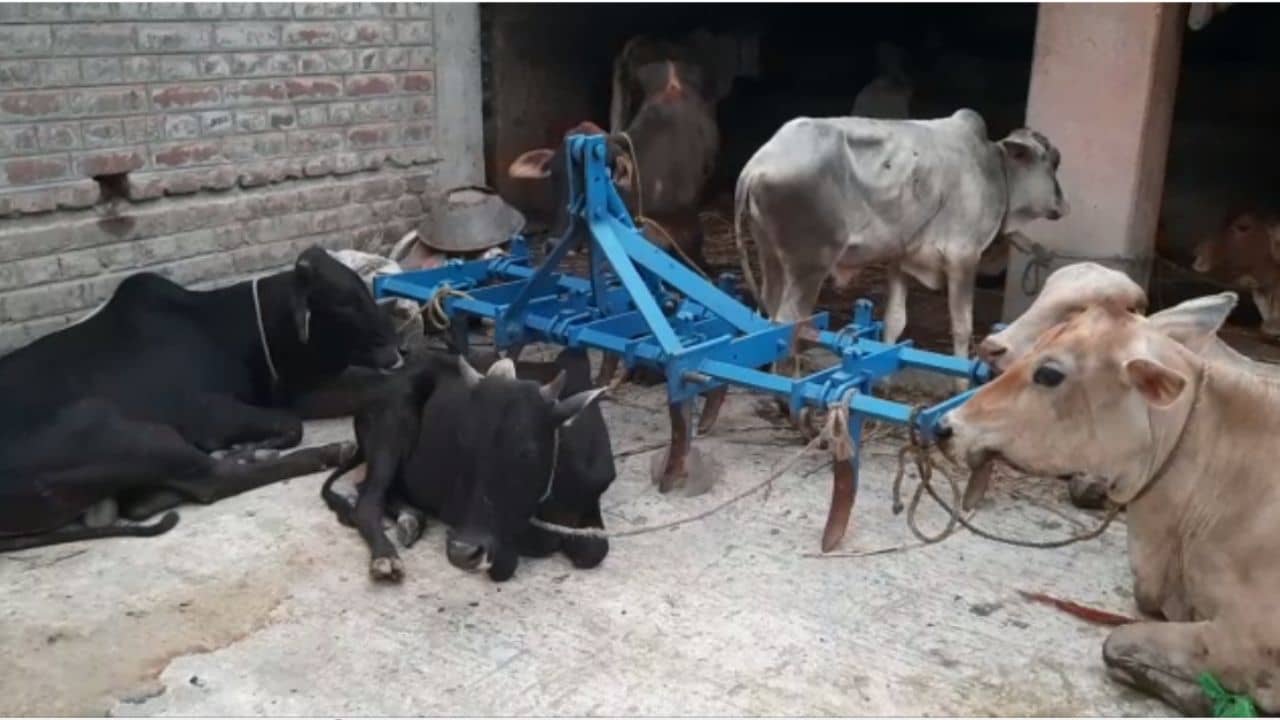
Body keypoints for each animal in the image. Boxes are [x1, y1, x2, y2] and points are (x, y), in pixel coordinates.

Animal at [0, 246, 403, 552]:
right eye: (344, 302)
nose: (396, 347)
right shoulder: (207, 414)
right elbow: (292, 426)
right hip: (128, 432)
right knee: (212, 479)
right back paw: (322, 453)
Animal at [322, 347, 613, 582]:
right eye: (465, 444)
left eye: (527, 452)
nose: (461, 552)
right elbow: (512, 558)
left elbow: (594, 550)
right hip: (391, 429)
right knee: (367, 500)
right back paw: (386, 557)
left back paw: (410, 518)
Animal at [733, 109, 1068, 378]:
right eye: (1053, 161)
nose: (1063, 206)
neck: (993, 169)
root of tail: (756, 166)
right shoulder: (963, 257)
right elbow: (963, 328)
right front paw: (961, 382)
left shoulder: (900, 260)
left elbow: (895, 321)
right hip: (809, 266)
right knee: (787, 325)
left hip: (770, 257)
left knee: (766, 316)